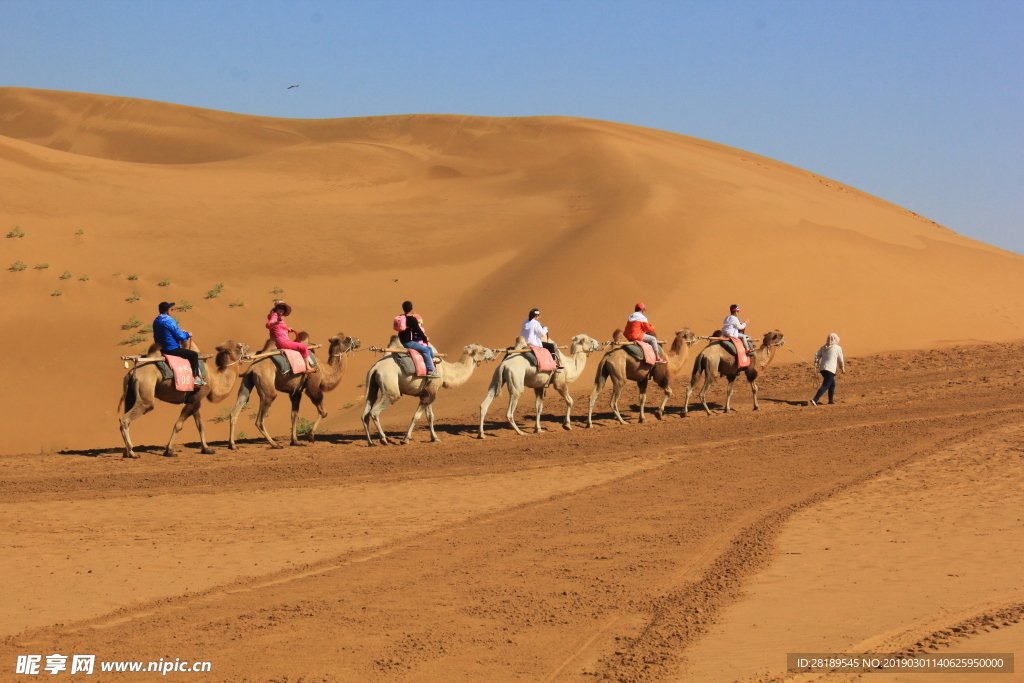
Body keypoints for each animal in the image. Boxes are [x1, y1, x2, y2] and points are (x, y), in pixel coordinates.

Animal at [116, 339, 249, 458]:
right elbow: (178, 425)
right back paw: (132, 453)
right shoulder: (195, 400)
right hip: (145, 391)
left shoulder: (195, 400)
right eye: (238, 346)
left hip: (131, 395)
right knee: (126, 419)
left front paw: (206, 449)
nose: (248, 347)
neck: (214, 380)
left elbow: (200, 425)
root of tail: (133, 372)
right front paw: (169, 451)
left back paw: (126, 452)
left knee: (126, 417)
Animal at [229, 331, 364, 448]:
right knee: (260, 419)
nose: (359, 341)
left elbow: (294, 415)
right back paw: (274, 444)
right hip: (266, 385)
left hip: (246, 383)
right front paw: (310, 436)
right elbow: (323, 412)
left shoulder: (296, 392)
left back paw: (233, 445)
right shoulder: (312, 385)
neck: (324, 370)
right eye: (347, 339)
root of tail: (252, 368)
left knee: (235, 410)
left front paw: (295, 441)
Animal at [364, 339, 495, 446]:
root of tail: (375, 368)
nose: (493, 354)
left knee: (365, 413)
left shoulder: (429, 391)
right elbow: (416, 416)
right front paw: (405, 439)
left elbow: (430, 416)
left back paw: (371, 442)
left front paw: (435, 438)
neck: (445, 371)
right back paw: (383, 439)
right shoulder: (430, 392)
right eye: (484, 350)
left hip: (373, 386)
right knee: (374, 411)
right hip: (391, 387)